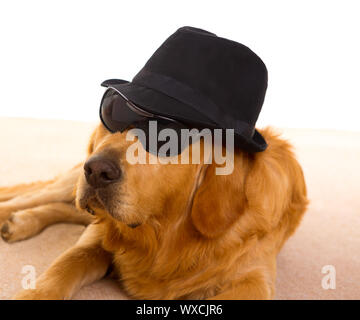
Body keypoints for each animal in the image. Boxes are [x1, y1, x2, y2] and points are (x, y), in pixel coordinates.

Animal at [0, 124, 310, 298]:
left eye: (164, 139)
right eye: (112, 121)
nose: (97, 170)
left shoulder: (254, 278)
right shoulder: (96, 237)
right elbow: (64, 266)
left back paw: (20, 222)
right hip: (72, 186)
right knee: (29, 195)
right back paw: (12, 216)